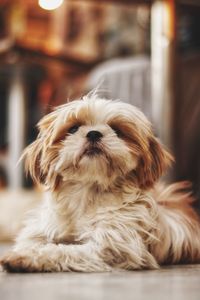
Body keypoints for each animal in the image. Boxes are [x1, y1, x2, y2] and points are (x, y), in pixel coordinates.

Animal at [0, 95, 200, 272]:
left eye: (117, 131)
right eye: (73, 128)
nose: (94, 133)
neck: (87, 193)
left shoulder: (112, 245)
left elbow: (63, 250)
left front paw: (25, 257)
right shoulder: (41, 230)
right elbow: (34, 241)